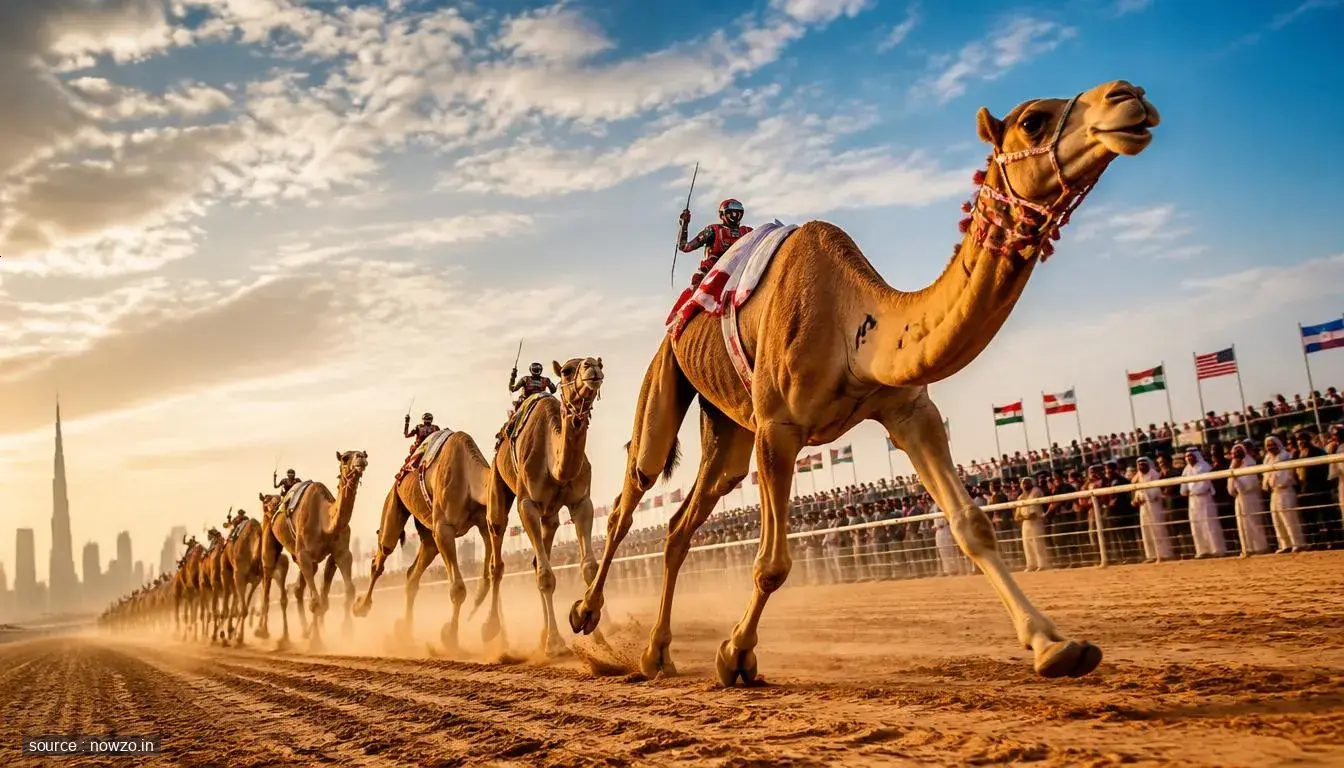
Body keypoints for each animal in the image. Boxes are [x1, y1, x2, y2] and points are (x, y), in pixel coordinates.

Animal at [263, 450, 368, 648]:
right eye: (345, 458)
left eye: (364, 454)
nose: (361, 459)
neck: (325, 521)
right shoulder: (304, 554)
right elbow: (315, 601)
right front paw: (316, 642)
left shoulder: (341, 553)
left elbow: (346, 591)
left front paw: (346, 632)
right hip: (271, 535)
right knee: (268, 572)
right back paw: (265, 633)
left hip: (303, 557)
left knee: (298, 588)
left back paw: (304, 631)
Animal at [354, 431, 491, 653]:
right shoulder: (443, 529)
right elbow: (458, 589)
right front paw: (450, 637)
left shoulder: (483, 522)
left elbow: (488, 575)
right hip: (395, 503)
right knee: (381, 555)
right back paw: (361, 607)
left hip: (428, 534)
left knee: (412, 574)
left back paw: (405, 634)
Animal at [482, 357, 605, 657]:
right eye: (567, 370)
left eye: (599, 361)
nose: (592, 367)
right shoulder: (528, 504)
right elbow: (546, 576)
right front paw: (553, 644)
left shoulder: (582, 502)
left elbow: (588, 567)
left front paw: (592, 630)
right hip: (498, 488)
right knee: (497, 560)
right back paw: (494, 632)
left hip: (550, 516)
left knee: (539, 556)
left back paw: (541, 634)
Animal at [569, 80, 1161, 686]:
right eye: (1033, 121)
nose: (1129, 96)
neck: (853, 318)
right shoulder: (779, 427)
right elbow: (772, 564)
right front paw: (734, 654)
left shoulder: (909, 410)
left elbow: (972, 523)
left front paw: (1054, 645)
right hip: (666, 377)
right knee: (633, 491)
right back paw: (586, 615)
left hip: (728, 427)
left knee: (682, 523)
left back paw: (656, 652)